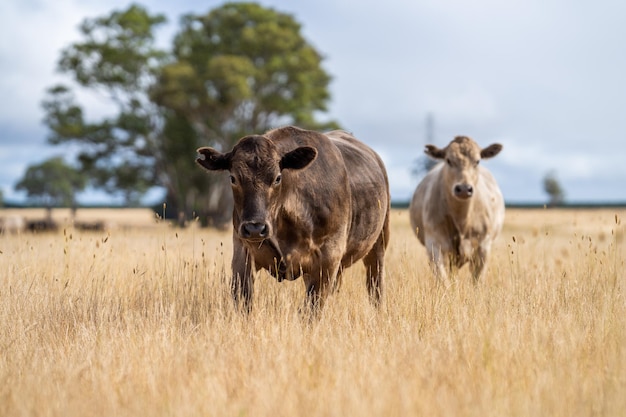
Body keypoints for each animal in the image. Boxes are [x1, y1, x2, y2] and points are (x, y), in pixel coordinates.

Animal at [195, 125, 390, 310]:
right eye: (233, 178)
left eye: (277, 178)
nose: (255, 228)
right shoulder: (242, 253)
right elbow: (244, 302)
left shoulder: (328, 258)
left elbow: (311, 310)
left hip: (378, 245)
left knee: (375, 286)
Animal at [410, 136, 502, 282]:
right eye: (448, 160)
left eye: (477, 161)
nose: (464, 189)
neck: (462, 220)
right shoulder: (434, 244)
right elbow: (442, 279)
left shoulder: (483, 247)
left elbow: (477, 280)